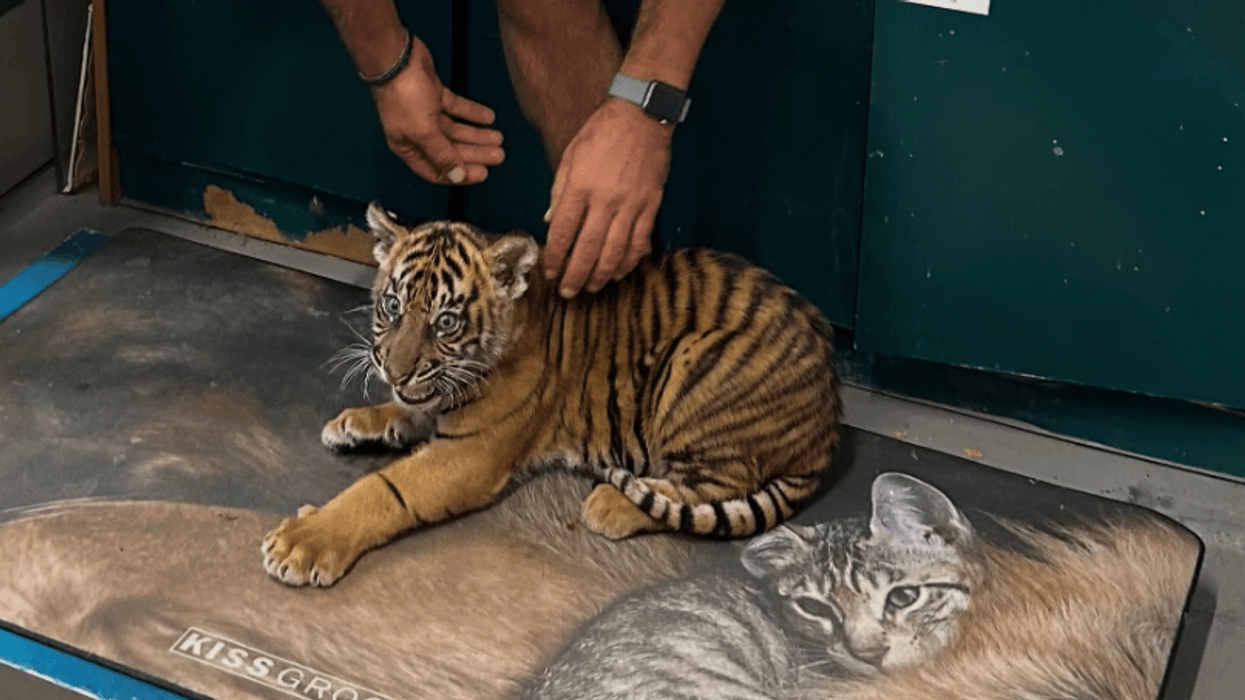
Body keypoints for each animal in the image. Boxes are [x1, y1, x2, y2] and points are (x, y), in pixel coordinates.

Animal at [261, 202, 841, 587]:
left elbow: (384, 490)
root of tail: (827, 427)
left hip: (693, 360)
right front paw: (356, 422)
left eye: (446, 321)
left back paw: (611, 503)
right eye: (392, 306)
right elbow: (411, 410)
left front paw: (305, 541)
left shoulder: (470, 455)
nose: (394, 371)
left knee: (714, 486)